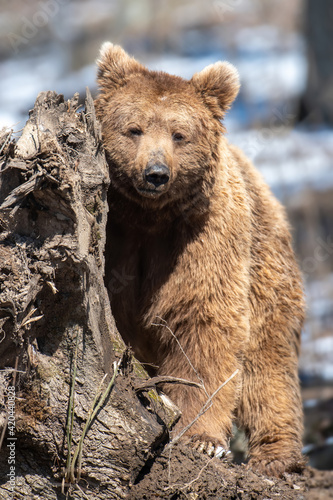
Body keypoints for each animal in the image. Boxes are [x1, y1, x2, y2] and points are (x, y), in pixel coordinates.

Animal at [94, 43, 304, 476]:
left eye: (179, 134)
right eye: (134, 129)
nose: (155, 173)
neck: (148, 218)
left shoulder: (202, 238)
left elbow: (201, 325)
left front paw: (202, 438)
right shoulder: (118, 240)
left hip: (264, 263)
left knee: (267, 364)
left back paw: (277, 457)